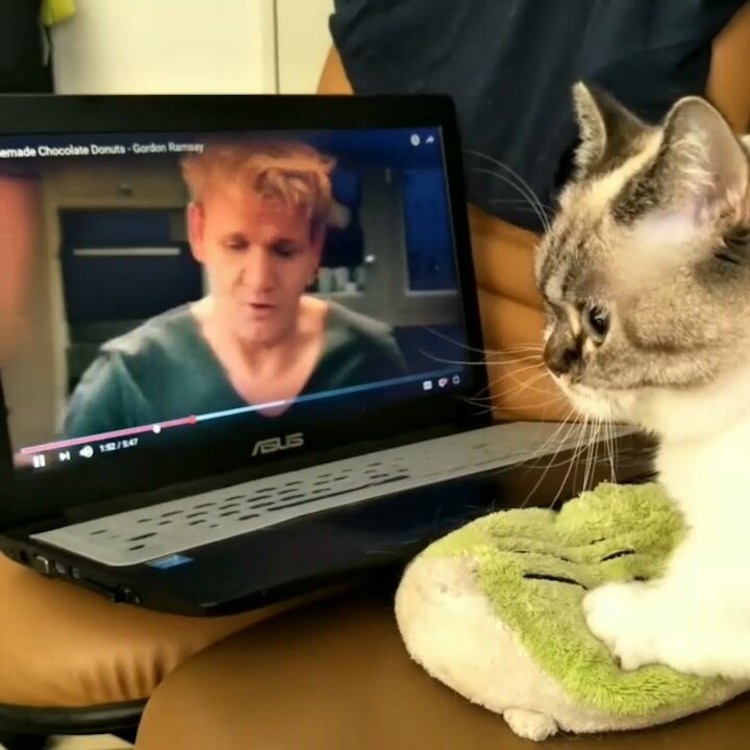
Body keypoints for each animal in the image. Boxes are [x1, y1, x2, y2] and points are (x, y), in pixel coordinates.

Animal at [536, 82, 750, 680]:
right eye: (546, 302)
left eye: (597, 321)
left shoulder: (733, 557)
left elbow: (687, 601)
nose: (550, 361)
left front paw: (620, 615)